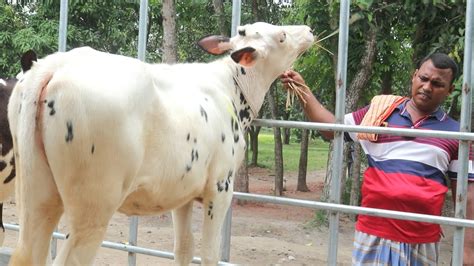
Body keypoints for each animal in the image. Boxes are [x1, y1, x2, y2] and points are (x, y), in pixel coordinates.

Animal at [7, 22, 314, 266]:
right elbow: (209, 253)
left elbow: (184, 248)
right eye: (282, 36)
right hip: (93, 206)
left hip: (38, 196)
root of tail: (55, 65)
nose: (309, 31)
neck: (231, 86)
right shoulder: (220, 187)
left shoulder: (184, 193)